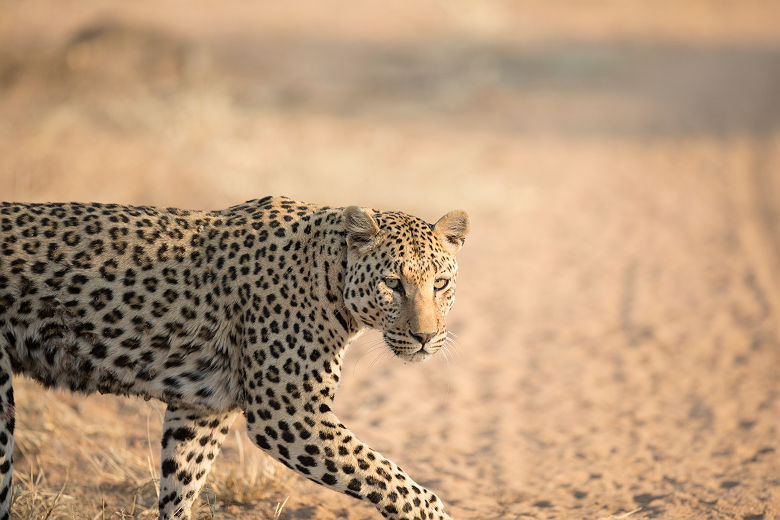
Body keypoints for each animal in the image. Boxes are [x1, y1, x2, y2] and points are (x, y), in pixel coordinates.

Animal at [0, 196, 470, 520]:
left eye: (440, 284)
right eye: (392, 283)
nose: (426, 337)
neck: (329, 276)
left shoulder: (202, 409)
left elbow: (180, 487)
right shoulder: (288, 412)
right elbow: (389, 478)